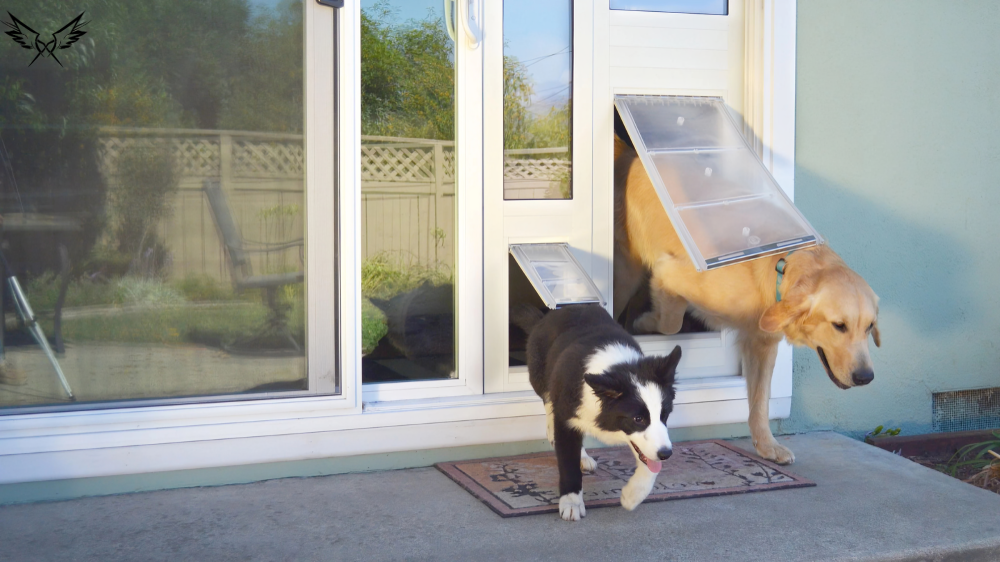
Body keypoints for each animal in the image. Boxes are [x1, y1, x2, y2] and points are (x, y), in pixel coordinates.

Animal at [612, 133, 880, 462]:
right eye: (839, 325)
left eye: (869, 327)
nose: (866, 377)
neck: (781, 263)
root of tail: (628, 155)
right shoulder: (669, 272)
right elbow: (671, 323)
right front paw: (645, 323)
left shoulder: (762, 342)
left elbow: (760, 400)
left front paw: (767, 445)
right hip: (625, 274)